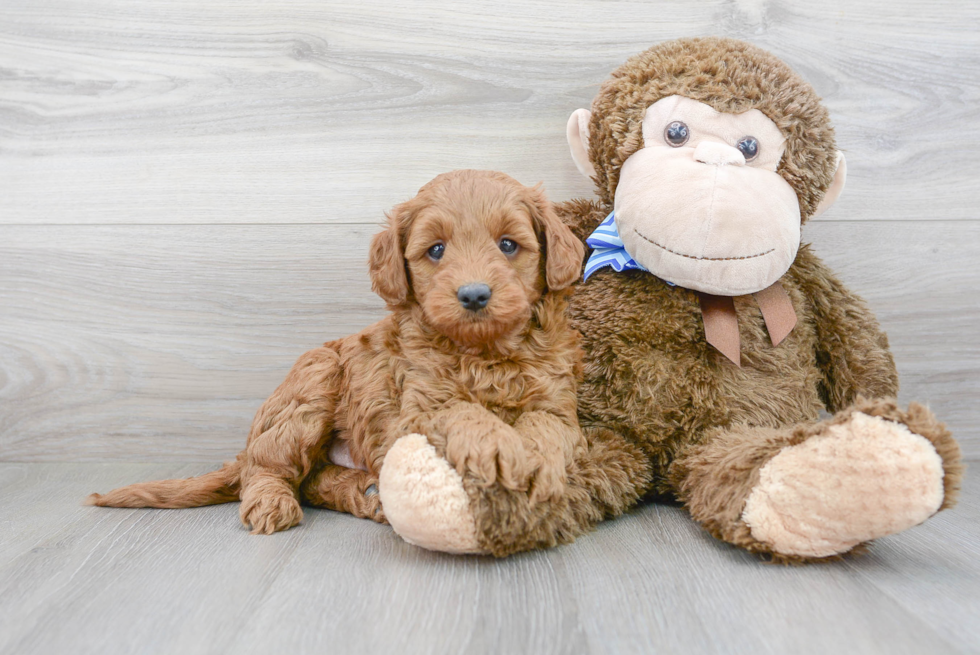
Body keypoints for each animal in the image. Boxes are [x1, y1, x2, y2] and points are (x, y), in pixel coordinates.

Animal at [86, 170, 580, 540]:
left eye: (508, 244)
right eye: (436, 250)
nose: (474, 294)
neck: (484, 353)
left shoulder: (558, 401)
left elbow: (548, 426)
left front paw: (539, 462)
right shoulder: (412, 411)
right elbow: (459, 410)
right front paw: (497, 445)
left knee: (313, 480)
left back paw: (368, 494)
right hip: (311, 383)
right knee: (267, 468)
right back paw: (273, 501)